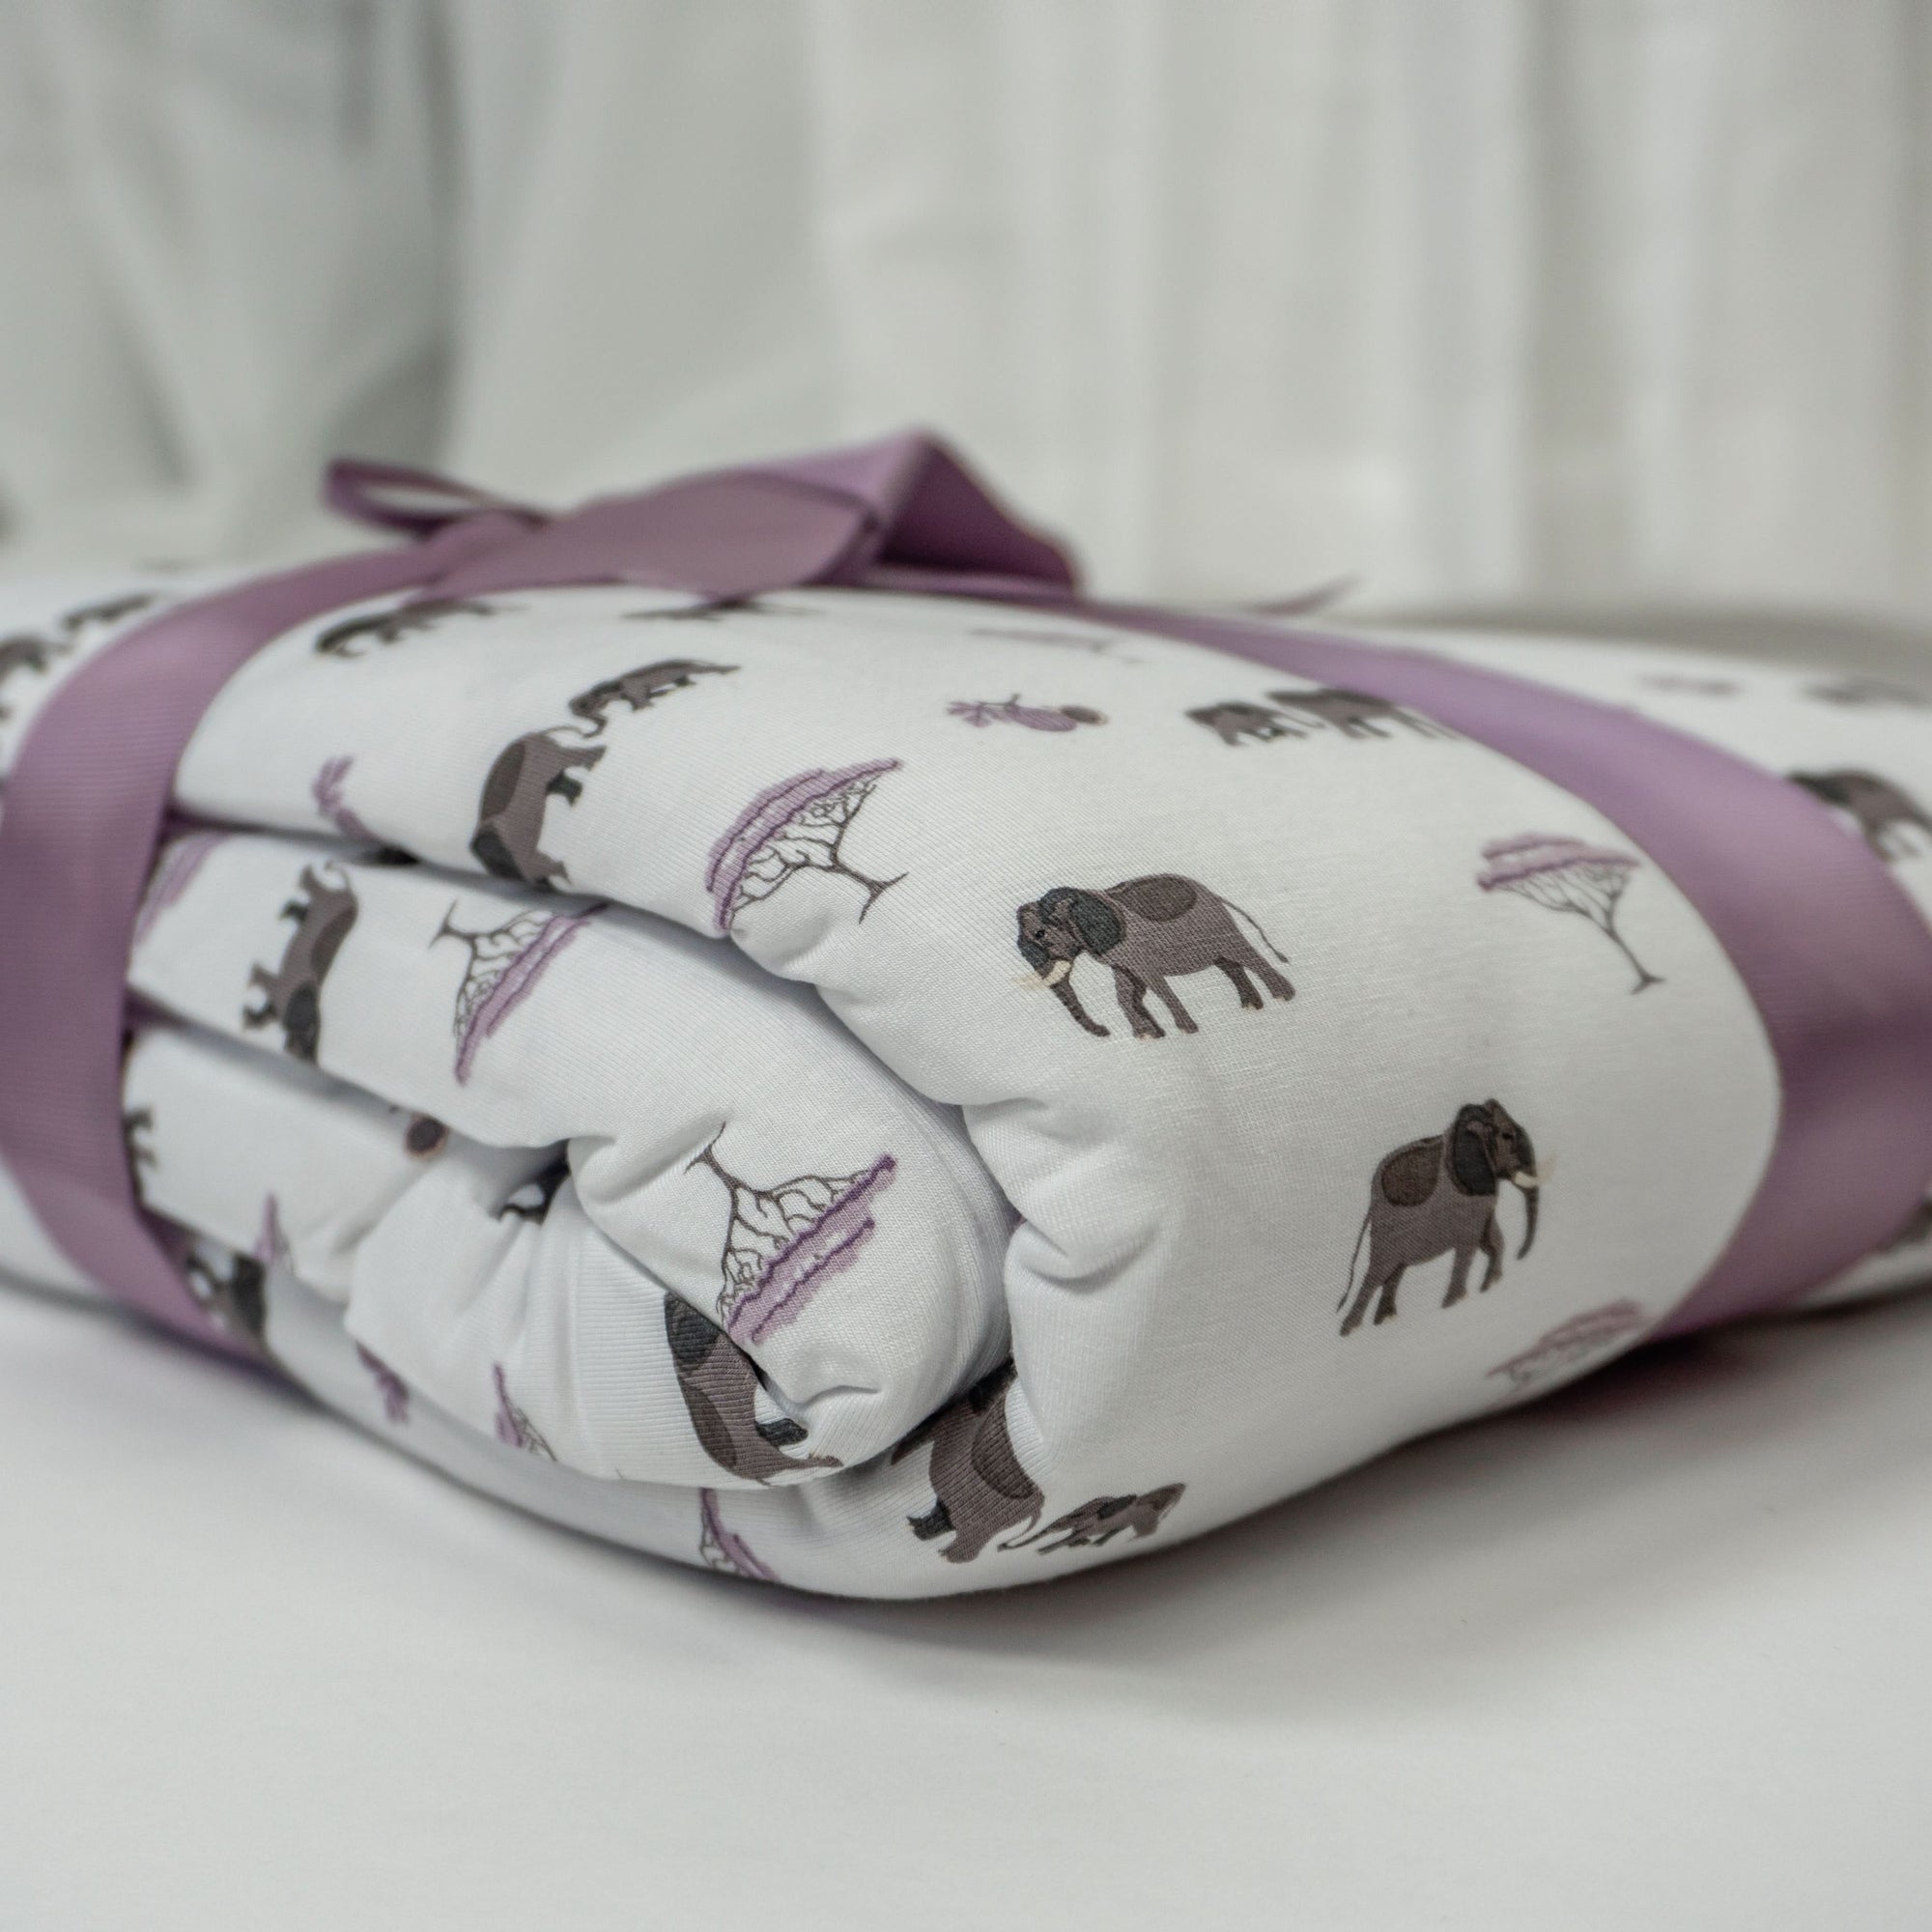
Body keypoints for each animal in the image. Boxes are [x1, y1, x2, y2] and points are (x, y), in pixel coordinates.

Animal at [566, 657, 734, 731]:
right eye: (573, 706)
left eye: (584, 704)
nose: (573, 711)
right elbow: (647, 695)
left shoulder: (635, 688)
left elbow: (641, 697)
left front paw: (643, 708)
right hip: (681, 674)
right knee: (684, 679)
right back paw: (688, 685)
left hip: (694, 668)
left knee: (707, 669)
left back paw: (728, 669)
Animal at [1016, 873, 1295, 1039]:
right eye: (1020, 945)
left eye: (1040, 933)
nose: (1105, 1031)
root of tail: (1214, 894)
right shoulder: (1117, 958)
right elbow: (1125, 991)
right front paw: (1147, 1036)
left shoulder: (1135, 948)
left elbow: (1154, 983)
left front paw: (1187, 1031)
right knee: (1228, 964)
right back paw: (1251, 1007)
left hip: (1217, 924)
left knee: (1244, 955)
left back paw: (1283, 997)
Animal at [1340, 1099, 1541, 1336]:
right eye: (1507, 1136)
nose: (1520, 1255)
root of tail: (1372, 1203)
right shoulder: (1468, 1201)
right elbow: (1471, 1245)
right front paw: (1453, 1303)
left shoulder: (1483, 1199)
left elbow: (1492, 1239)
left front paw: (1488, 1286)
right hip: (1387, 1231)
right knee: (1377, 1275)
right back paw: (1350, 1330)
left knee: (1394, 1273)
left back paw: (1384, 1320)